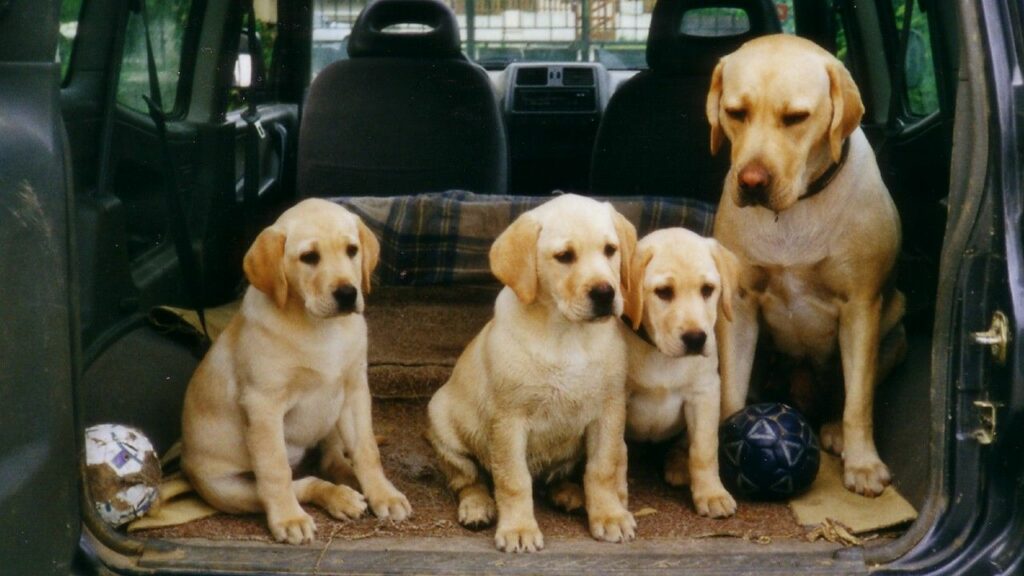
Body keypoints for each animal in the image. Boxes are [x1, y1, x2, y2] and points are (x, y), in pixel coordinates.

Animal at [182, 198, 409, 541]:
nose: (347, 293)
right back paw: (335, 497)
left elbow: (366, 449)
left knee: (331, 458)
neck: (320, 327)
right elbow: (276, 470)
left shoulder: (355, 389)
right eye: (309, 257)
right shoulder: (263, 405)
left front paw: (384, 494)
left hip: (332, 418)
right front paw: (288, 519)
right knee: (299, 482)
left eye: (352, 250)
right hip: (227, 488)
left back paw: (349, 482)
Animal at [421, 193, 630, 553]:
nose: (605, 293)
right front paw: (518, 529)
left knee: (558, 476)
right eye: (564, 256)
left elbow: (601, 469)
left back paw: (569, 493)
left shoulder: (609, 412)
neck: (567, 334)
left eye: (610, 250)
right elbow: (513, 480)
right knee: (468, 479)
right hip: (444, 426)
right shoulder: (509, 422)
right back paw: (477, 506)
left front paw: (609, 516)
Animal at [622, 227, 737, 516]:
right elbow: (615, 451)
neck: (661, 355)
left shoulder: (704, 394)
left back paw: (678, 465)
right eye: (663, 292)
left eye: (707, 289)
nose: (696, 338)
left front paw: (712, 494)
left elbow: (704, 449)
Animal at [704, 34, 905, 494]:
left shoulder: (861, 306)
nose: (752, 182)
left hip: (894, 332)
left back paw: (833, 431)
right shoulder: (740, 306)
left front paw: (863, 464)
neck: (795, 209)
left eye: (796, 117)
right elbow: (730, 390)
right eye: (735, 112)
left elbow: (858, 400)